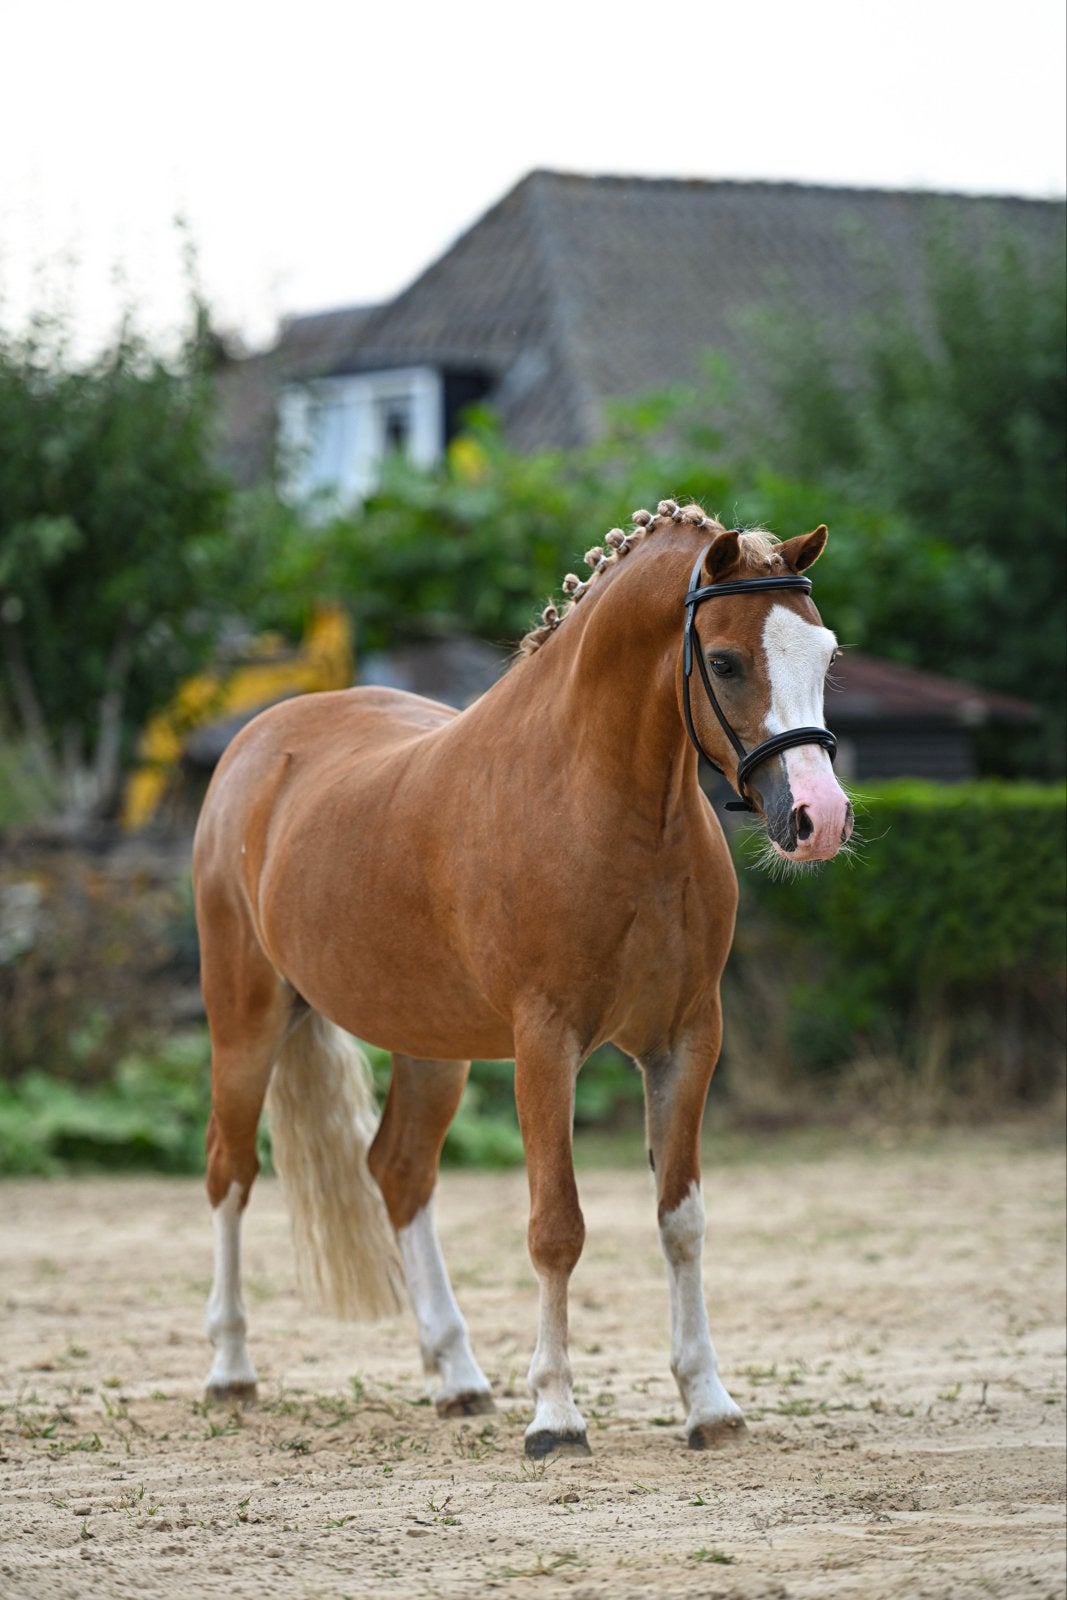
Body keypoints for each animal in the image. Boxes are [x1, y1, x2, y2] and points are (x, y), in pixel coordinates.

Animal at [192, 499, 853, 1457]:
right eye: (726, 661)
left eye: (825, 654)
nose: (818, 818)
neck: (606, 808)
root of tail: (258, 743)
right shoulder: (547, 1043)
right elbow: (556, 1228)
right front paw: (556, 1416)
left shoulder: (686, 1040)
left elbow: (680, 1219)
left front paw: (707, 1404)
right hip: (244, 1020)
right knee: (231, 1172)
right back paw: (231, 1370)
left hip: (429, 1047)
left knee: (398, 1172)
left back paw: (458, 1378)